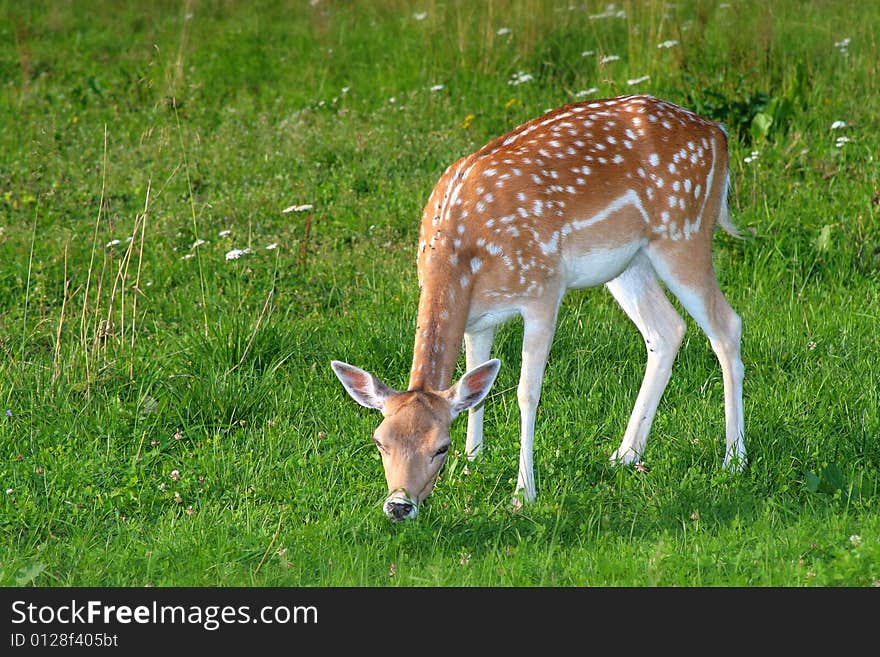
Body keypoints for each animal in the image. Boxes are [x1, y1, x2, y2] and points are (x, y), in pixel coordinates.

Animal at [334, 95, 744, 520]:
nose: (399, 505)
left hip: (683, 232)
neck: (461, 253)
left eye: (440, 447)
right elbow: (475, 386)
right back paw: (625, 454)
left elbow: (526, 392)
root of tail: (718, 133)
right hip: (629, 263)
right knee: (666, 330)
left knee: (726, 326)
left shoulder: (543, 291)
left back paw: (734, 459)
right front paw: (473, 462)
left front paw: (523, 492)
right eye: (379, 441)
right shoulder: (477, 319)